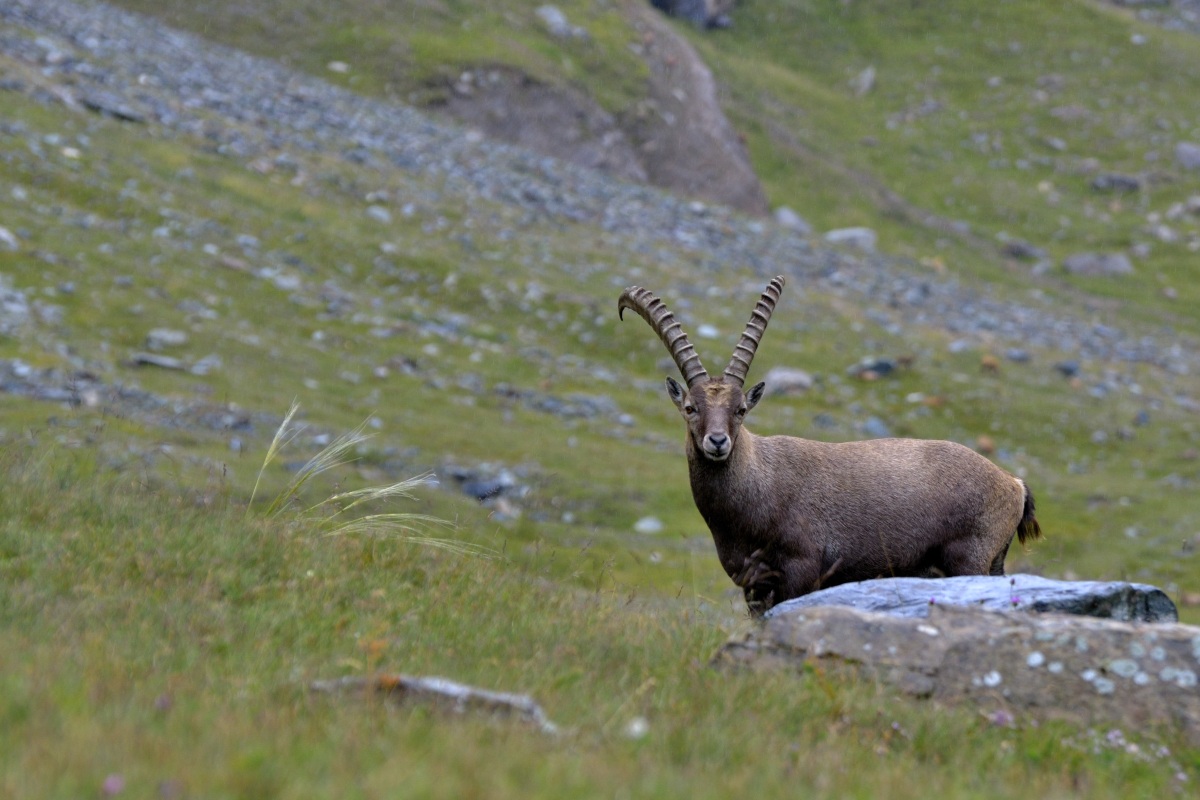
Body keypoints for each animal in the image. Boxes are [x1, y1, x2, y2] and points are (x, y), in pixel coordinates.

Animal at [618, 275, 1041, 614]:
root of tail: (1013, 484)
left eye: (741, 409)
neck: (756, 485)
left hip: (969, 559)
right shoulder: (753, 584)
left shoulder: (801, 571)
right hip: (992, 563)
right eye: (690, 408)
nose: (718, 441)